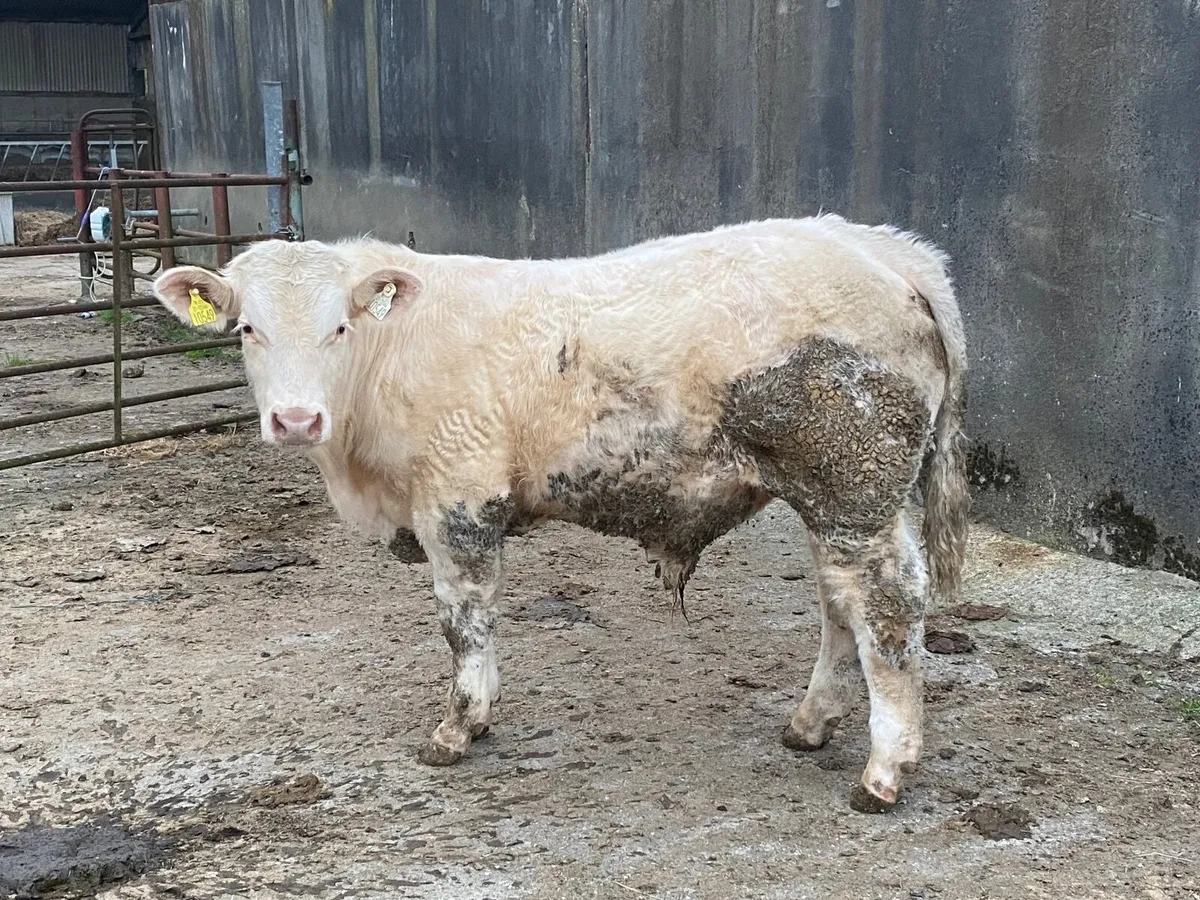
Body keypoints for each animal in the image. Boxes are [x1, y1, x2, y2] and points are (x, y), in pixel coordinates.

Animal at [152, 215, 968, 813]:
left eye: (340, 328)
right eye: (247, 329)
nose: (296, 419)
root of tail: (885, 249)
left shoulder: (456, 498)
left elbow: (464, 620)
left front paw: (459, 726)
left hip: (853, 490)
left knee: (888, 608)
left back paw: (884, 772)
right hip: (835, 499)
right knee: (840, 608)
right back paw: (810, 725)